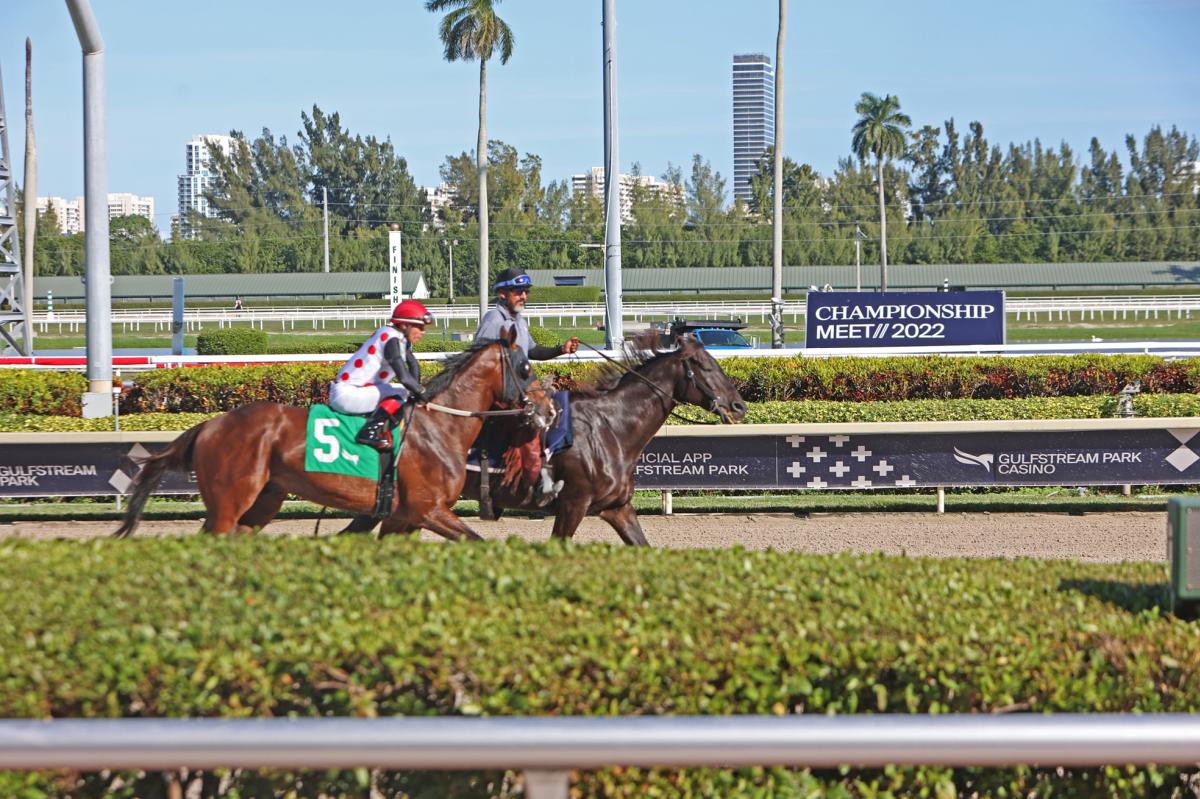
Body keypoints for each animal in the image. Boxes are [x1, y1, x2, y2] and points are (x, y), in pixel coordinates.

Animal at [114, 326, 547, 537]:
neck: (440, 427)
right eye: (525, 367)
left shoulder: (400, 516)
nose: (547, 409)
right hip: (229, 501)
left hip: (265, 499)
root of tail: (210, 424)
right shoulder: (428, 510)